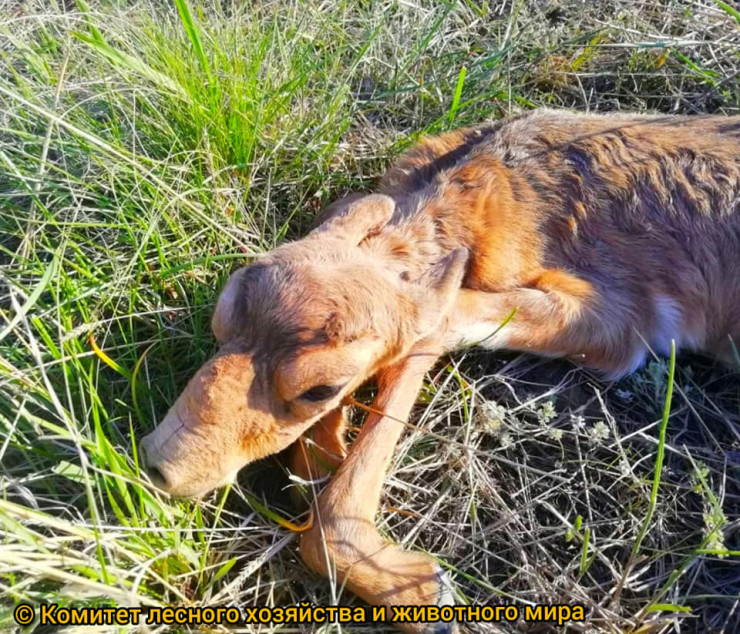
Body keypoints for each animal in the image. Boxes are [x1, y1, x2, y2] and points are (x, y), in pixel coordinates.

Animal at [139, 109, 740, 633]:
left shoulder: (619, 324)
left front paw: (419, 588)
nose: (161, 465)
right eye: (219, 319)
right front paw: (321, 460)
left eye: (320, 388)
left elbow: (434, 326)